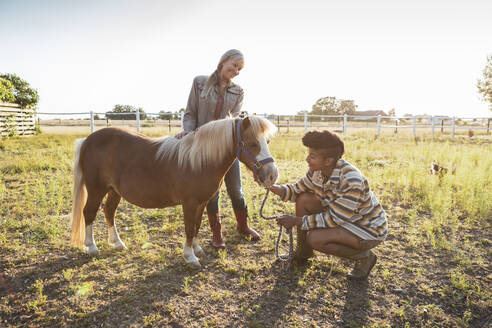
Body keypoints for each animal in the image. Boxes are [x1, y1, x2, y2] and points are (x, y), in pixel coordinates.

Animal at [69, 116, 278, 268]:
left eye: (267, 141)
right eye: (252, 143)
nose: (272, 176)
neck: (199, 160)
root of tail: (88, 140)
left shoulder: (201, 203)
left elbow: (196, 226)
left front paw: (197, 249)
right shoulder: (190, 203)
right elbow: (189, 228)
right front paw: (190, 257)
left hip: (114, 190)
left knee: (109, 211)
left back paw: (117, 243)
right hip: (96, 189)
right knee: (89, 213)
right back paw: (91, 247)